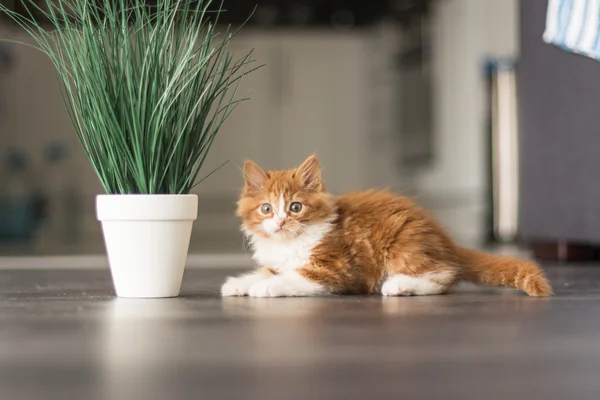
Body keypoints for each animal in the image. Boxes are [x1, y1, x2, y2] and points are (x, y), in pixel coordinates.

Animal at [224, 155, 552, 298]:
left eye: (295, 207)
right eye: (266, 209)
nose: (280, 222)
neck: (290, 243)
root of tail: (445, 241)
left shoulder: (333, 267)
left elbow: (293, 278)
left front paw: (266, 287)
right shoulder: (277, 261)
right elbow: (268, 270)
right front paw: (239, 283)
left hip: (403, 245)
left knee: (444, 274)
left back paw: (400, 285)